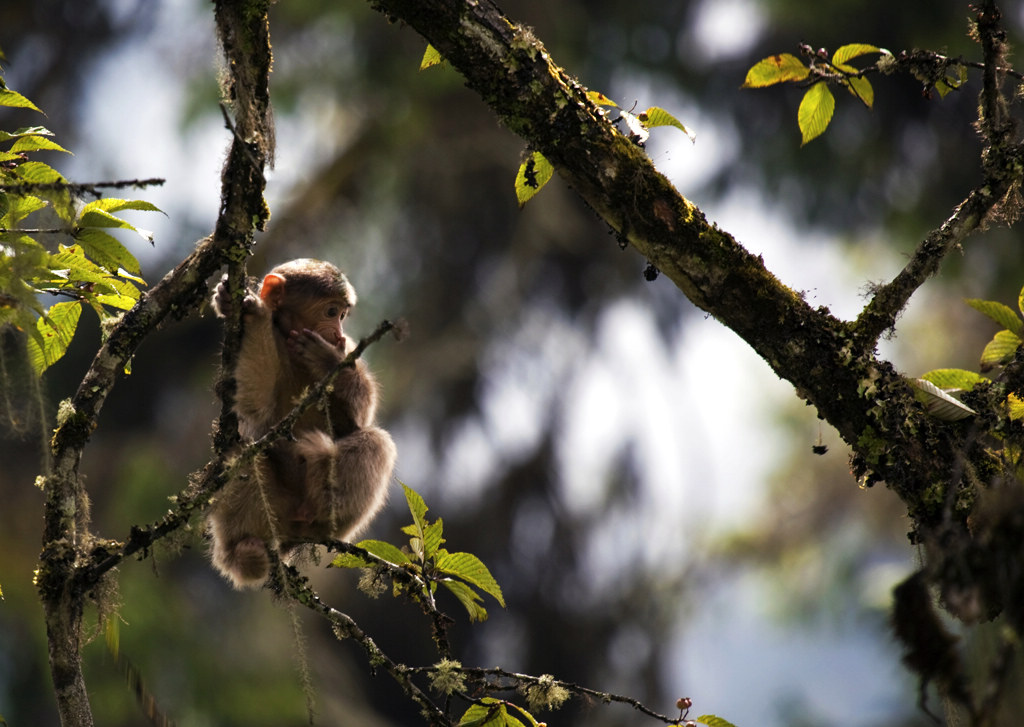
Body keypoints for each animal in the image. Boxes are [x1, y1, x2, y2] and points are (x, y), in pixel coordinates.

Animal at [207, 259, 395, 589]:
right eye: (331, 312)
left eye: (342, 315)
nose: (337, 331)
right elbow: (256, 404)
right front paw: (248, 311)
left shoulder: (348, 350)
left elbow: (360, 415)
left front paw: (326, 358)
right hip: (273, 512)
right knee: (238, 456)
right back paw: (242, 554)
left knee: (376, 441)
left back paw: (322, 499)